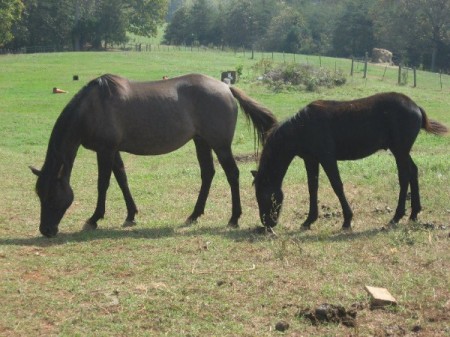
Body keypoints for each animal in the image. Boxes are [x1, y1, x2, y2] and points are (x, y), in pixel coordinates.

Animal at [30, 73, 278, 236]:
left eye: (51, 195)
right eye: (39, 195)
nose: (46, 230)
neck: (93, 107)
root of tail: (226, 88)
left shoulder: (106, 150)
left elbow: (103, 184)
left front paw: (94, 218)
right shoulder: (114, 150)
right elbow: (122, 179)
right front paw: (131, 215)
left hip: (220, 144)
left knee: (232, 174)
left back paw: (234, 218)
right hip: (201, 141)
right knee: (208, 173)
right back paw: (194, 214)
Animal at [251, 92, 448, 230]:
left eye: (264, 196)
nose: (267, 224)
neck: (302, 127)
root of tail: (416, 107)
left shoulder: (327, 157)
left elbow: (336, 185)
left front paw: (347, 220)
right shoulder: (311, 159)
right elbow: (312, 187)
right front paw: (309, 220)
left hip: (399, 151)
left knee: (404, 176)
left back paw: (396, 217)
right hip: (403, 151)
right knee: (413, 172)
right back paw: (414, 213)